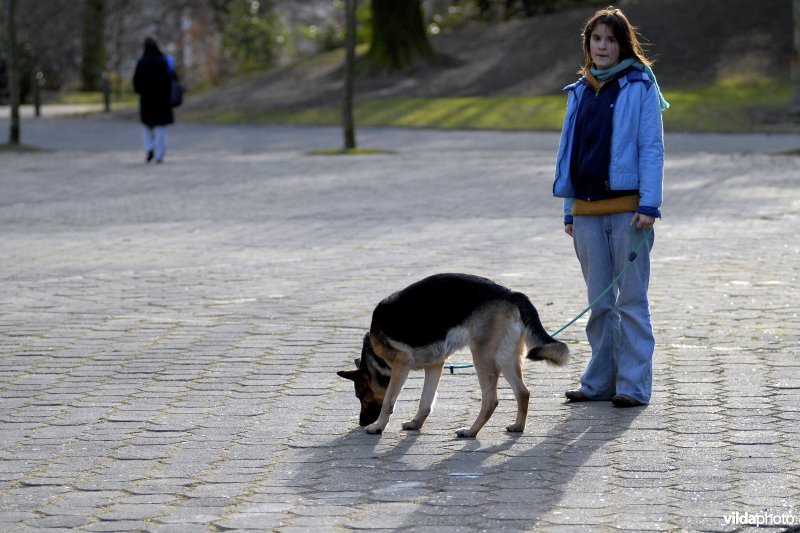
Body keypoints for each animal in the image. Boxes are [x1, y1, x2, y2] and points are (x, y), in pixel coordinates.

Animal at [338, 274, 568, 436]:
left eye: (359, 394)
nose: (361, 422)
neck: (375, 357)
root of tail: (511, 294)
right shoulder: (435, 365)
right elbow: (425, 401)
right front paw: (416, 423)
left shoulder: (402, 363)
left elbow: (388, 401)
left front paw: (378, 427)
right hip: (506, 358)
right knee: (523, 392)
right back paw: (518, 426)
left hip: (483, 357)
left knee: (491, 400)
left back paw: (471, 431)